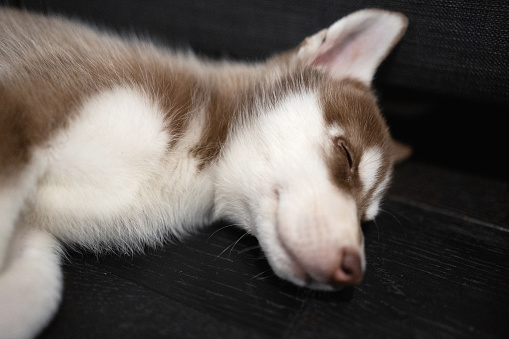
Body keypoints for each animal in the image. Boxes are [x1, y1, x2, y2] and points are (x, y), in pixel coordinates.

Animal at [0, 7, 408, 339]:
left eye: (366, 219)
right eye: (346, 155)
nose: (353, 271)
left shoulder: (33, 238)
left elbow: (37, 297)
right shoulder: (26, 108)